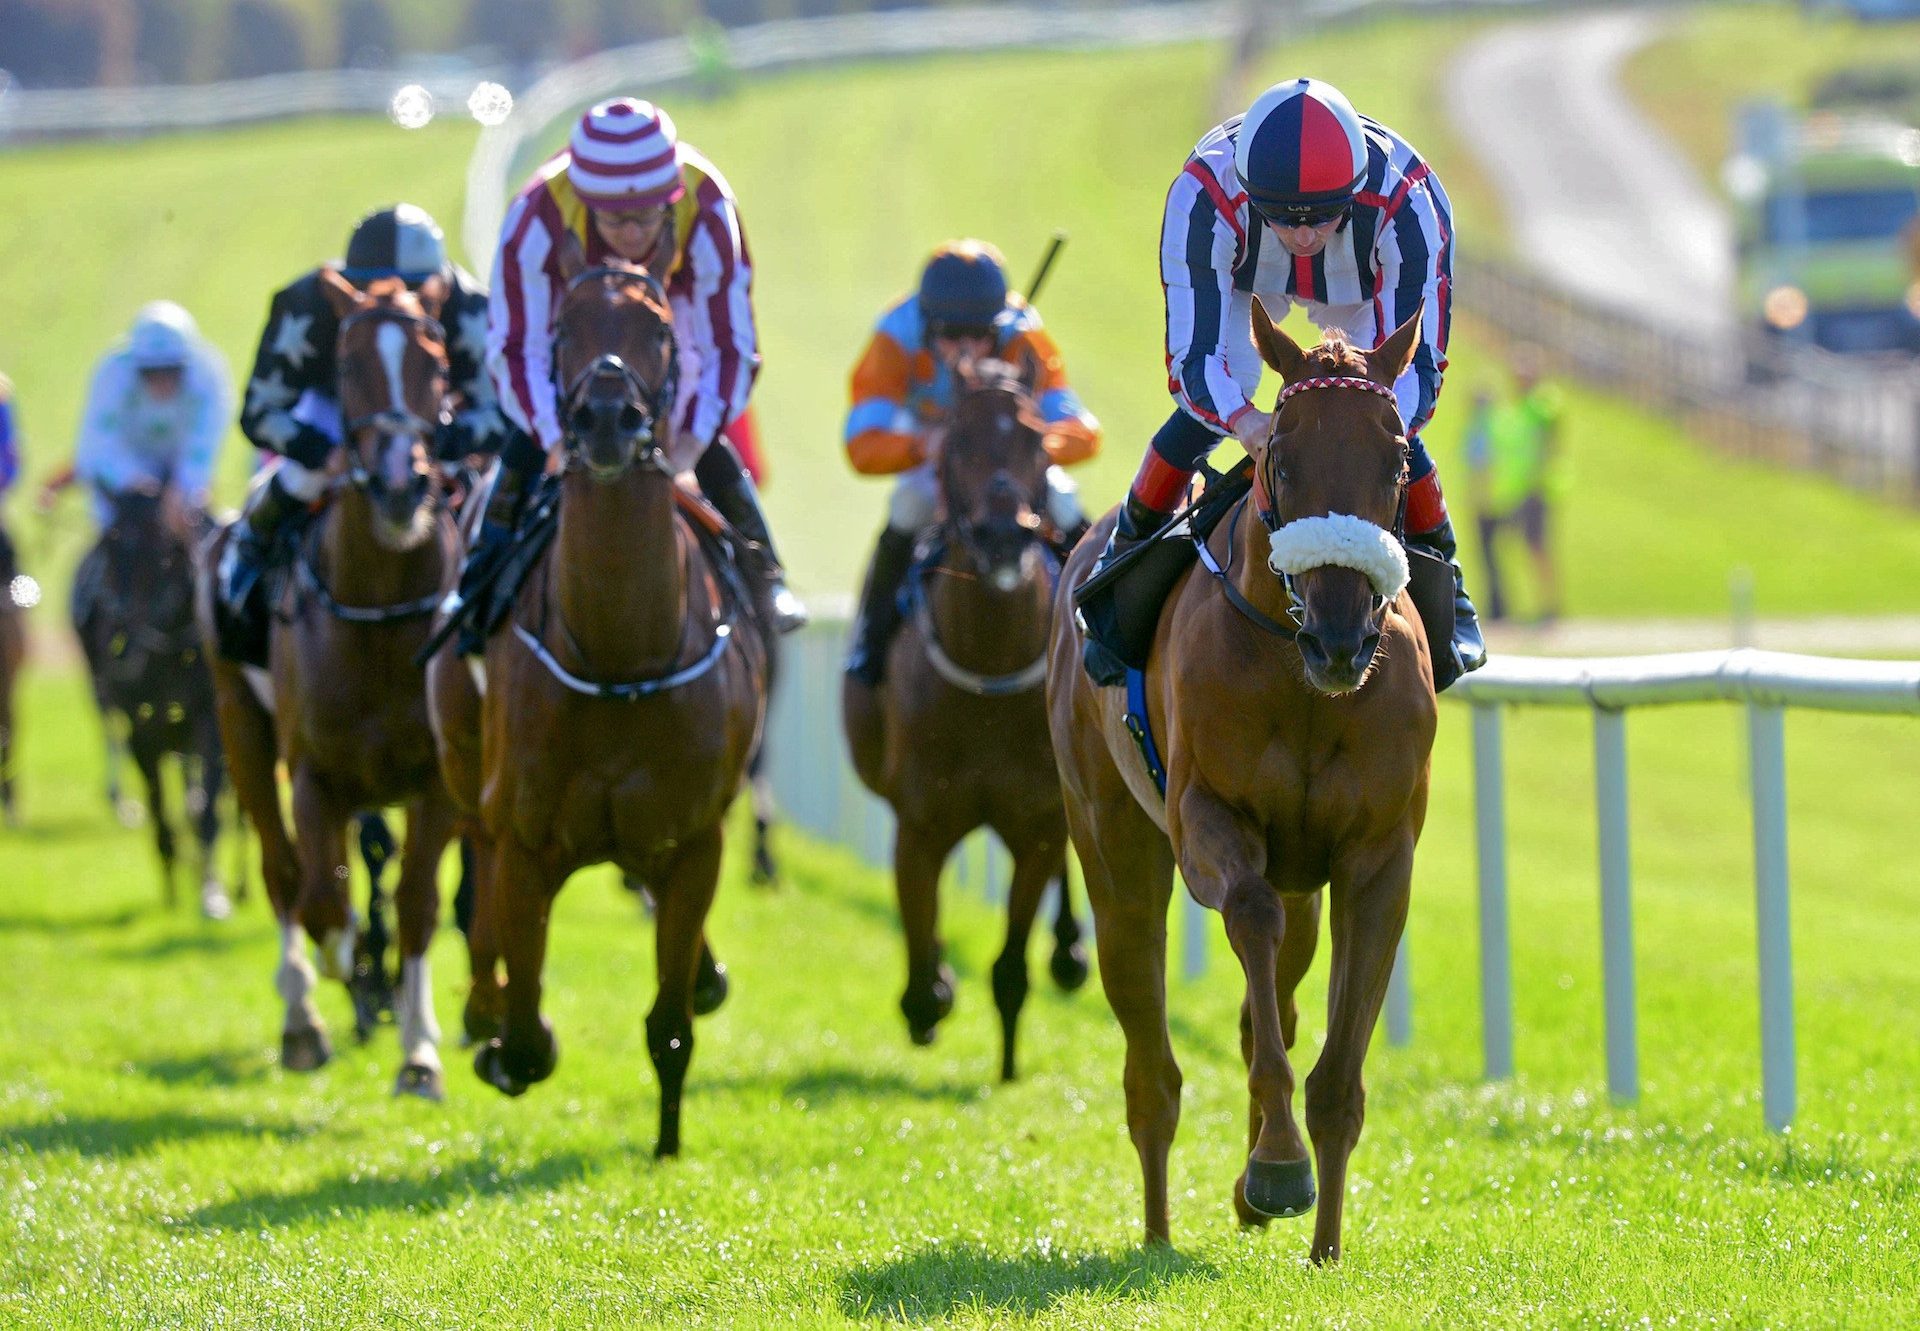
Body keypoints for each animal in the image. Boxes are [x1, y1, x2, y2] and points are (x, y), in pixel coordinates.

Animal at [196, 274, 462, 1098]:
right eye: (346, 367)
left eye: (438, 361)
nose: (401, 484)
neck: (377, 612)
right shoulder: (315, 774)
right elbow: (321, 900)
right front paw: (348, 968)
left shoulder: (437, 779)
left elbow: (416, 904)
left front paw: (419, 1052)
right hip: (240, 726)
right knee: (284, 875)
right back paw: (304, 1020)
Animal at [428, 257, 764, 1152]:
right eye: (563, 328)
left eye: (658, 328)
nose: (607, 417)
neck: (619, 654)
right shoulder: (525, 838)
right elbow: (524, 1027)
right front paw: (507, 1038)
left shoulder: (693, 840)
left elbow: (672, 1022)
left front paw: (669, 1140)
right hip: (465, 770)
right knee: (477, 882)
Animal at [848, 363, 1090, 1083]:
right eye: (955, 441)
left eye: (1037, 440)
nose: (1003, 535)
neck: (988, 668)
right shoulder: (920, 823)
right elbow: (920, 948)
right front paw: (932, 997)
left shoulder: (1035, 826)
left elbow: (1010, 966)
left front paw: (1008, 1064)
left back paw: (1069, 950)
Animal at [1052, 303, 1443, 1267]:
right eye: (1281, 461)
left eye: (1397, 460)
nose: (1341, 638)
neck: (1300, 681)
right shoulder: (1206, 820)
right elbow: (1250, 916)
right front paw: (1276, 1164)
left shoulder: (1378, 856)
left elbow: (1336, 1065)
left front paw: (1326, 1243)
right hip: (1115, 851)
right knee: (1150, 1064)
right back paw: (1158, 1231)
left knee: (1275, 994)